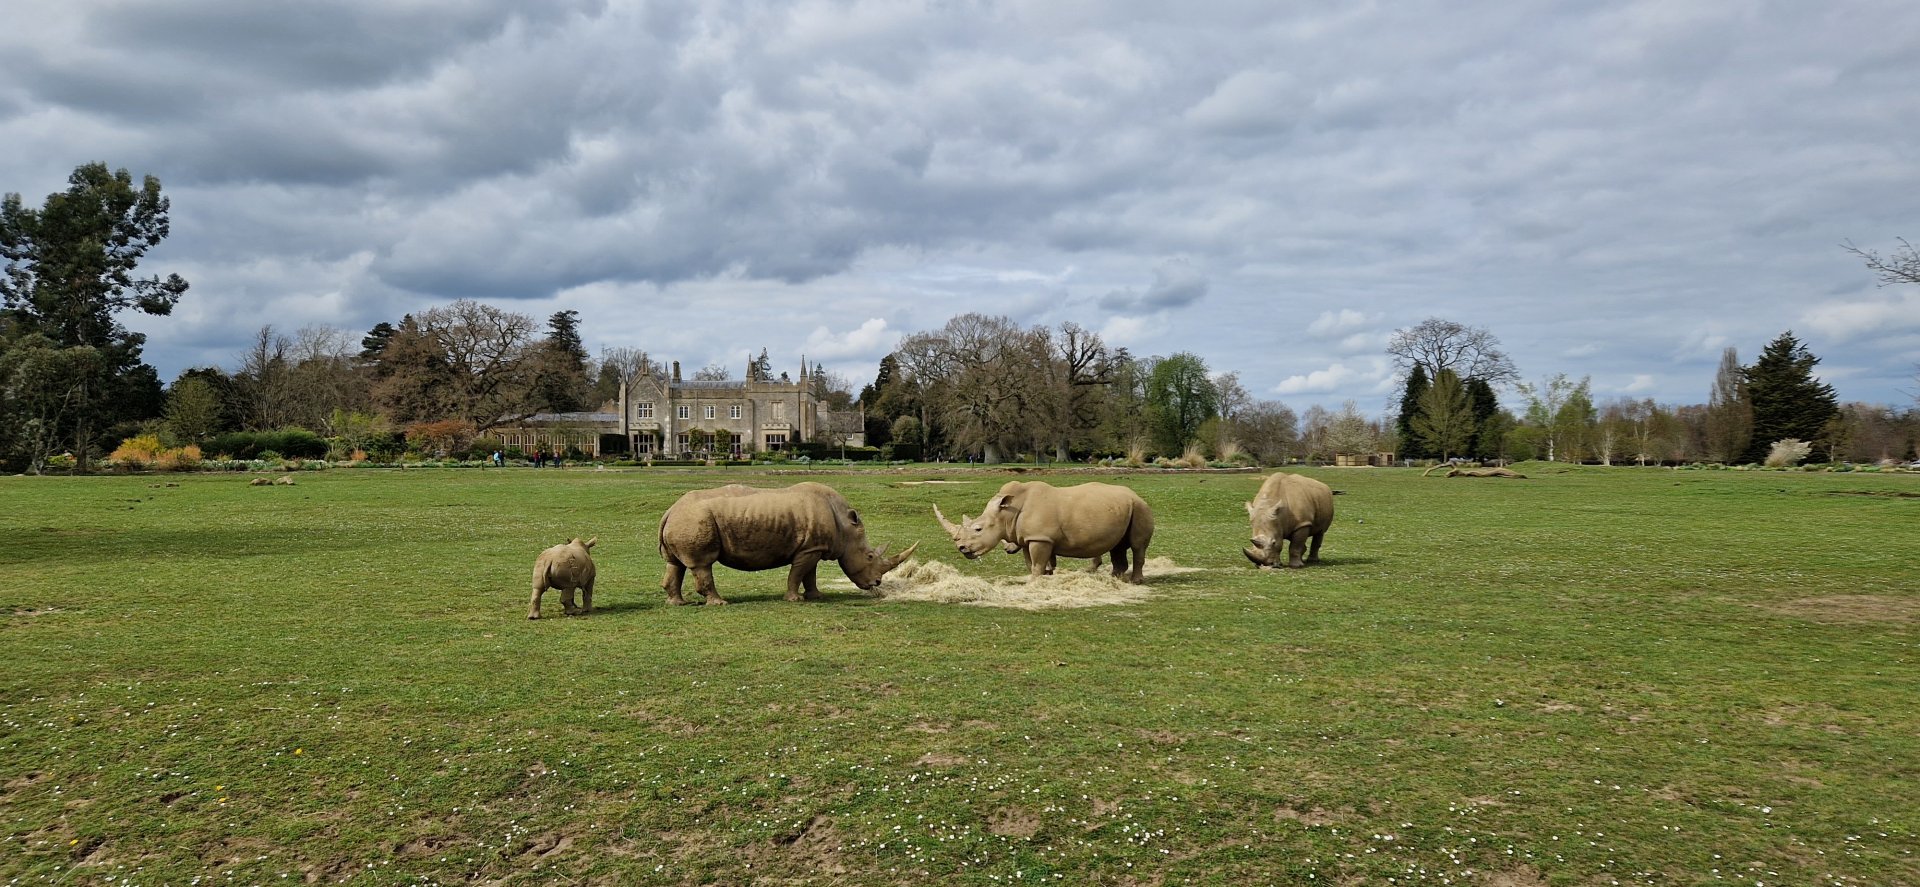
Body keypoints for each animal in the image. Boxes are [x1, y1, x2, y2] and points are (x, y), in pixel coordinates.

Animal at [658, 482, 916, 605]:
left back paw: (678, 604)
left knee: (675, 564)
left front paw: (816, 596)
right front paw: (795, 599)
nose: (877, 583)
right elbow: (797, 574)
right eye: (870, 556)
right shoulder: (808, 549)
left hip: (685, 519)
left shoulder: (813, 547)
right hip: (695, 519)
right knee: (702, 563)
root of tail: (670, 510)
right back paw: (720, 603)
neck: (845, 525)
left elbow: (810, 574)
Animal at [934, 481, 1154, 583]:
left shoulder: (1040, 538)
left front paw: (1034, 583)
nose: (961, 548)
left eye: (978, 529)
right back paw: (1114, 580)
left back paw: (1135, 581)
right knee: (1117, 546)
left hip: (1141, 507)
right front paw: (1041, 579)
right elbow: (1032, 563)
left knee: (1137, 546)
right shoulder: (1029, 538)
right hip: (1123, 508)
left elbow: (1038, 563)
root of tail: (1136, 494)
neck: (1006, 513)